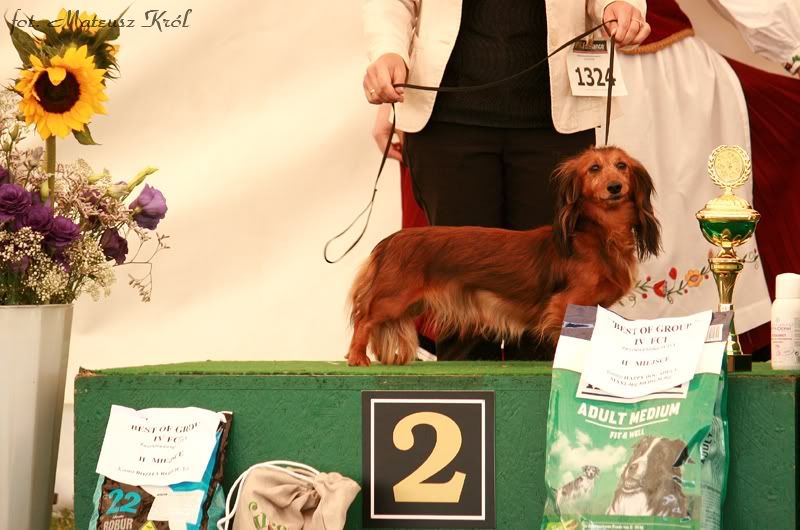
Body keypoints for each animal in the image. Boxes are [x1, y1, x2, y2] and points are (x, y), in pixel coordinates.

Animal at [346, 146, 661, 366]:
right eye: (594, 168)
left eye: (621, 166)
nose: (614, 187)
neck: (600, 235)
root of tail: (390, 241)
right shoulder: (566, 303)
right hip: (392, 298)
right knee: (364, 319)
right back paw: (357, 357)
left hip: (410, 304)